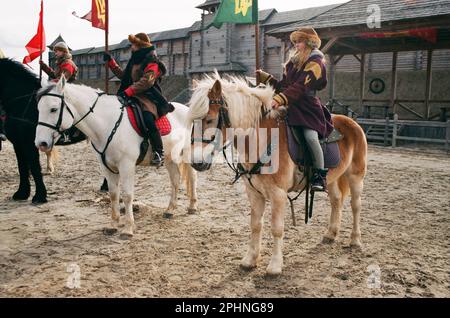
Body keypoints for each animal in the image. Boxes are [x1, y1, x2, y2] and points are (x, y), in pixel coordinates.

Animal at [0, 58, 47, 204]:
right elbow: (23, 167)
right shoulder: (18, 143)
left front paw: (40, 196)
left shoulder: (29, 143)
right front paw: (22, 193)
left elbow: (35, 166)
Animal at [35, 75, 197, 238]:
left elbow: (127, 195)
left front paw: (128, 228)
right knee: (175, 179)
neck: (107, 123)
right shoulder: (106, 167)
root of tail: (186, 109)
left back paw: (192, 206)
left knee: (192, 176)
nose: (41, 143)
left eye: (53, 109)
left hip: (186, 153)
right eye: (38, 109)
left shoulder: (126, 165)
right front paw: (113, 224)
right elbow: (113, 194)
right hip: (169, 157)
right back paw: (170, 209)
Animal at [188, 72, 368, 276]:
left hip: (356, 176)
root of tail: (352, 122)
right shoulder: (254, 193)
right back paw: (331, 233)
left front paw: (274, 266)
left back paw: (355, 239)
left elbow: (276, 228)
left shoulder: (278, 194)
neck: (260, 140)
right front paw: (250, 259)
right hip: (331, 179)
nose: (196, 162)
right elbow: (255, 225)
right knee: (336, 200)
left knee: (356, 206)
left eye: (210, 120)